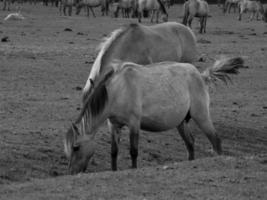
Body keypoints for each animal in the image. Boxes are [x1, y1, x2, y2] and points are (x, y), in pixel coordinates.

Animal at [63, 55, 246, 173]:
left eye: (76, 147)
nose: (72, 172)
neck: (118, 89)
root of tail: (201, 76)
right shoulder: (114, 126)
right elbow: (114, 152)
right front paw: (114, 170)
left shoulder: (134, 124)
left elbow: (133, 151)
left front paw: (134, 169)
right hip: (181, 123)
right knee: (190, 143)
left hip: (201, 116)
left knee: (216, 140)